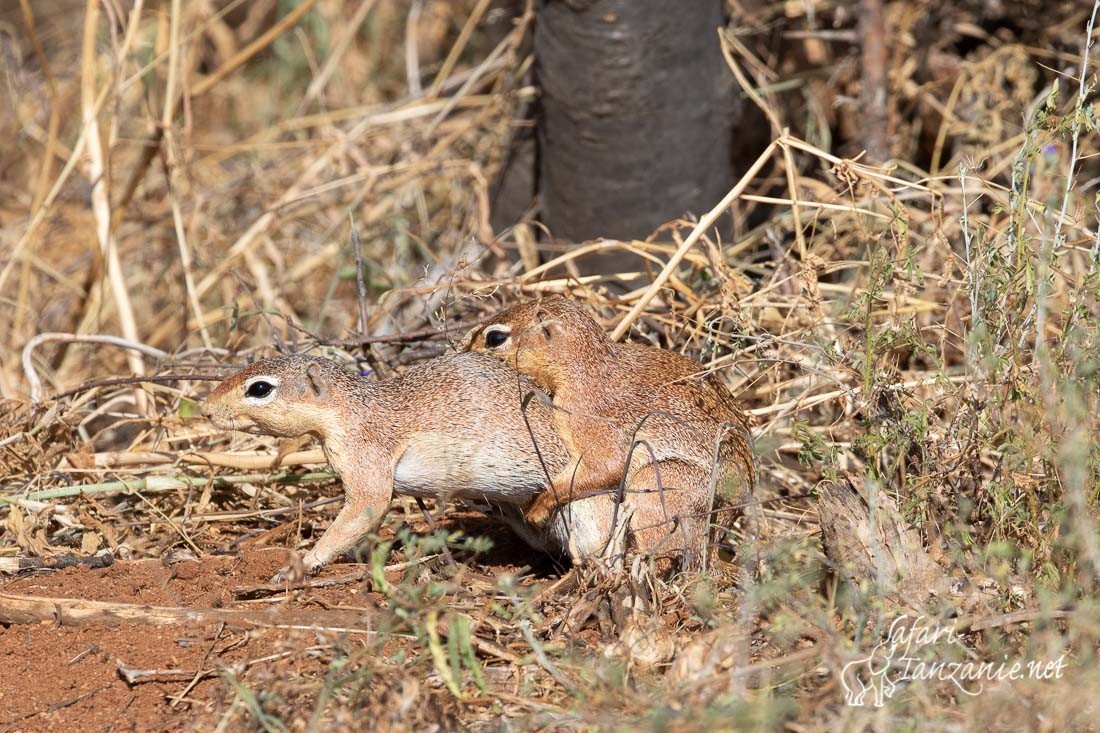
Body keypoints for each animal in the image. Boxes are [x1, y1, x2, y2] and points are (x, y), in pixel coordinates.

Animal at [457, 294, 756, 556]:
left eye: (495, 338)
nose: (461, 352)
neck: (587, 368)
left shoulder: (587, 419)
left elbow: (604, 466)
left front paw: (538, 508)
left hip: (657, 483)